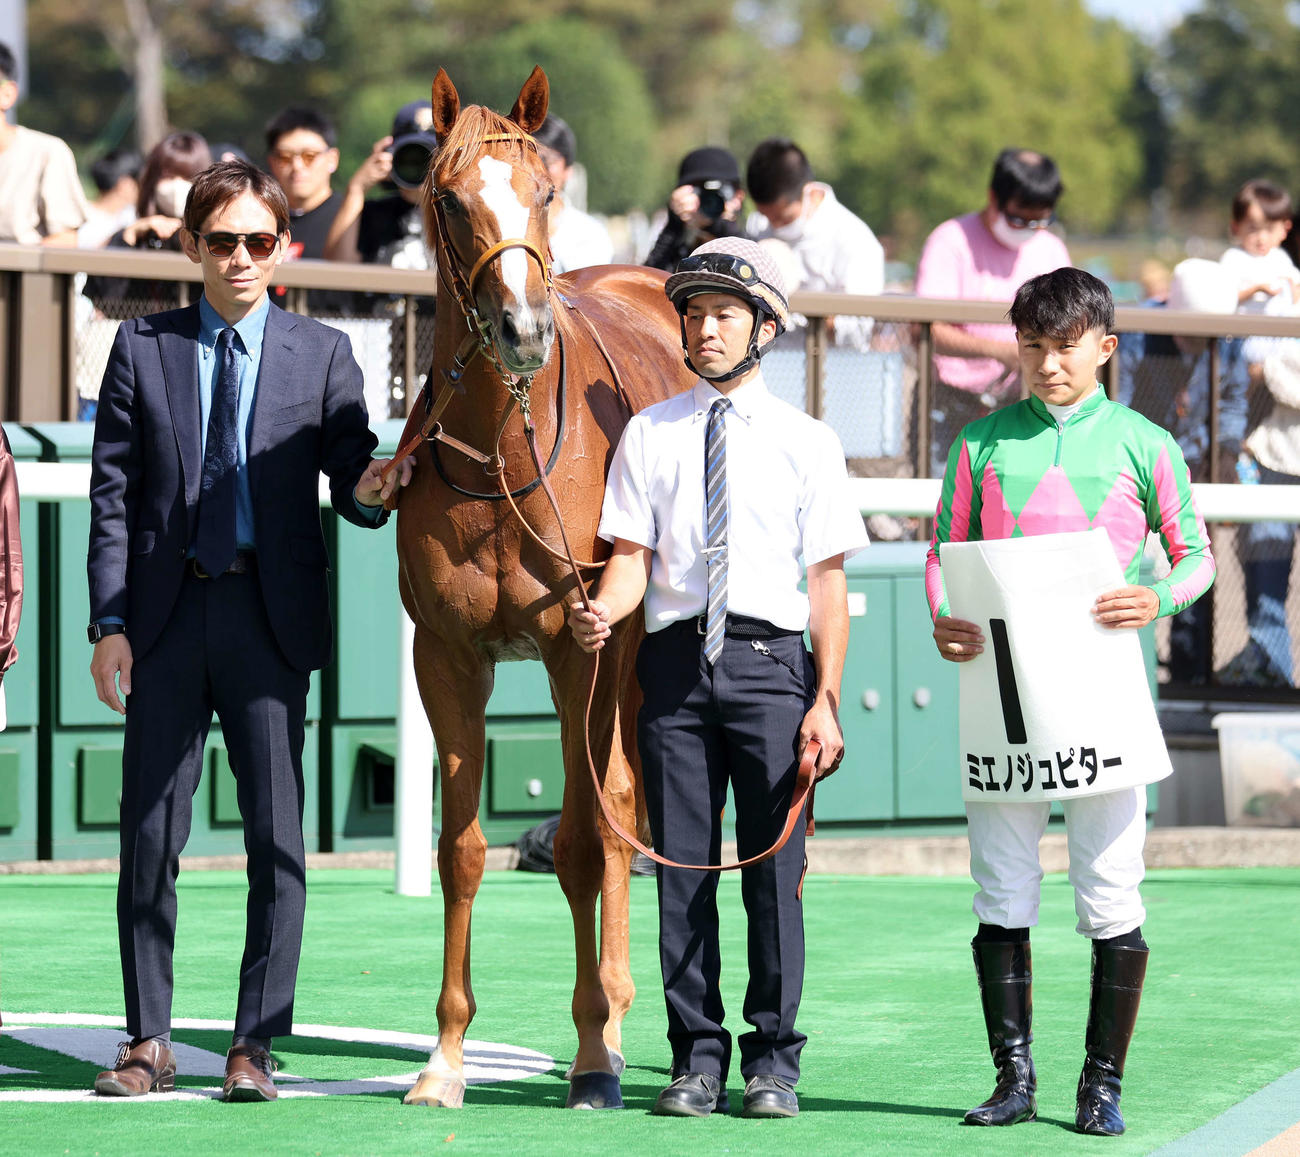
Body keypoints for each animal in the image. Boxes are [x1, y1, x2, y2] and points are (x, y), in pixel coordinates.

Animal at [391, 67, 694, 1110]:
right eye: (449, 200)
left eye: (547, 193)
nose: (523, 330)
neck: (503, 447)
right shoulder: (445, 656)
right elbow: (461, 850)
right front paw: (445, 1055)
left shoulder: (577, 647)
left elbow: (577, 842)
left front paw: (595, 1046)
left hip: (629, 657)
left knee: (618, 808)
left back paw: (616, 1009)